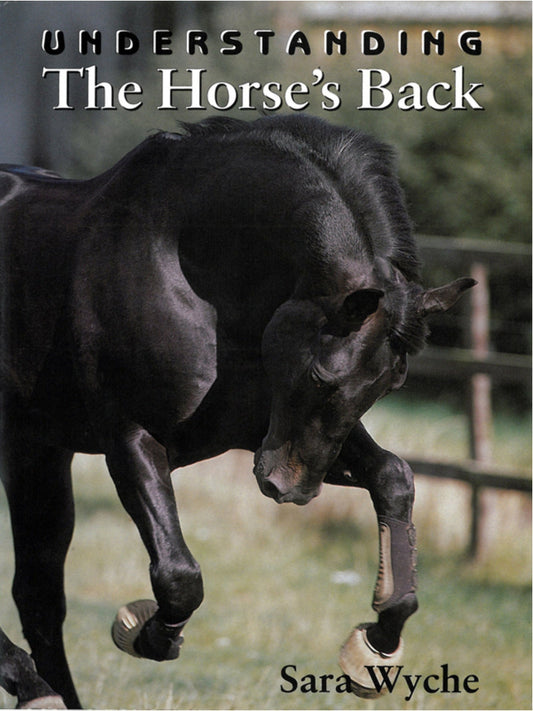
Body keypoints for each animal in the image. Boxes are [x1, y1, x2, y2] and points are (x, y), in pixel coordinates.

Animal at [0, 115, 475, 707]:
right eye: (321, 376)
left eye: (391, 386)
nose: (287, 489)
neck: (187, 264)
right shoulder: (131, 439)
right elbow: (179, 576)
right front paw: (147, 633)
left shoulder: (260, 435)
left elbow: (394, 474)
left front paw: (378, 641)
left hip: (36, 451)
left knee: (39, 596)